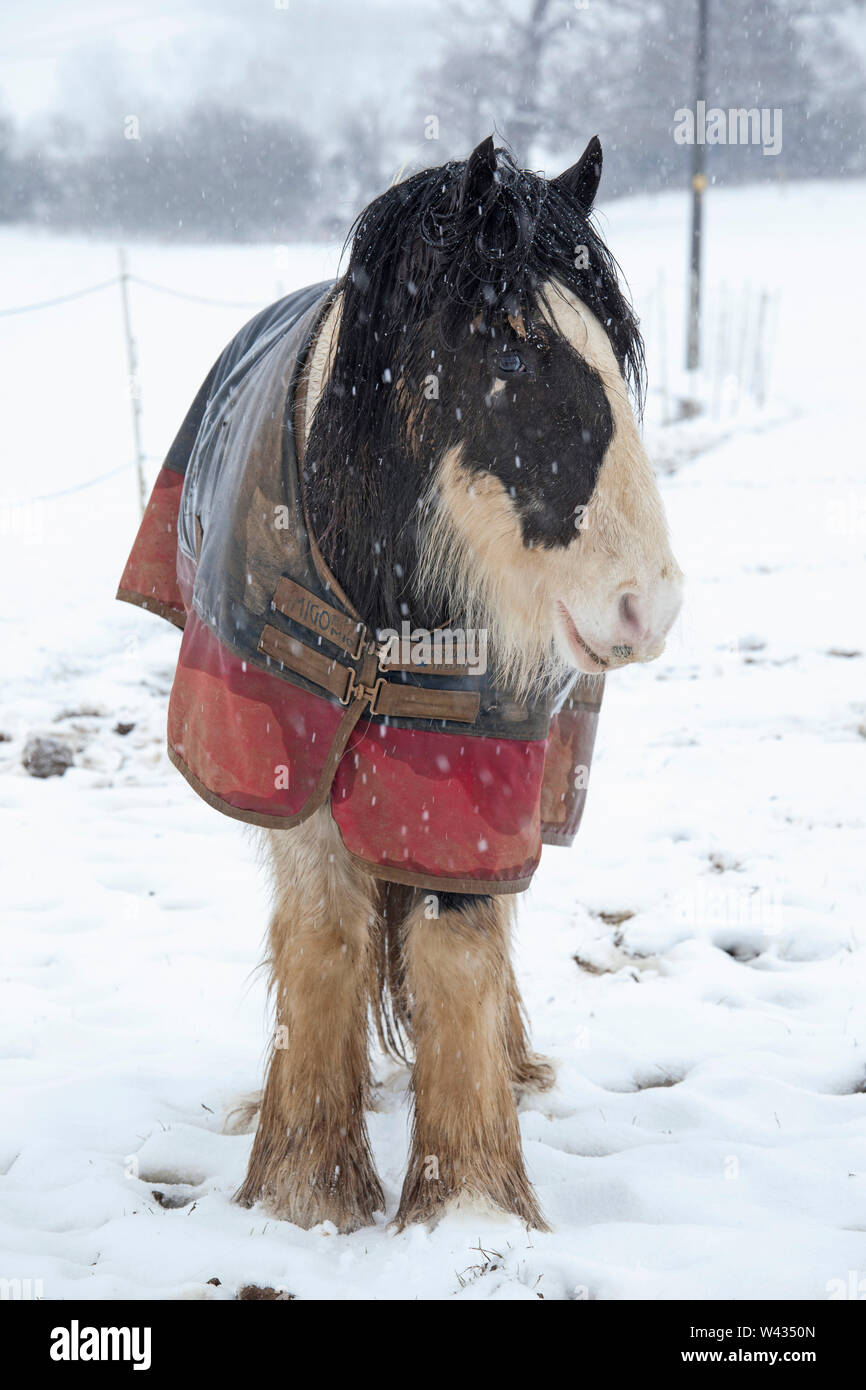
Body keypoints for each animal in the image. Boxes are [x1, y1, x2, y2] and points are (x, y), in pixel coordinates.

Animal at [118, 134, 682, 1233]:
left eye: (615, 352)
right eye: (511, 356)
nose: (650, 605)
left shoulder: (468, 768)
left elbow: (458, 943)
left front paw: (468, 1202)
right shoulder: (289, 752)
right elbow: (325, 938)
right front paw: (305, 1189)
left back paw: (513, 1066)